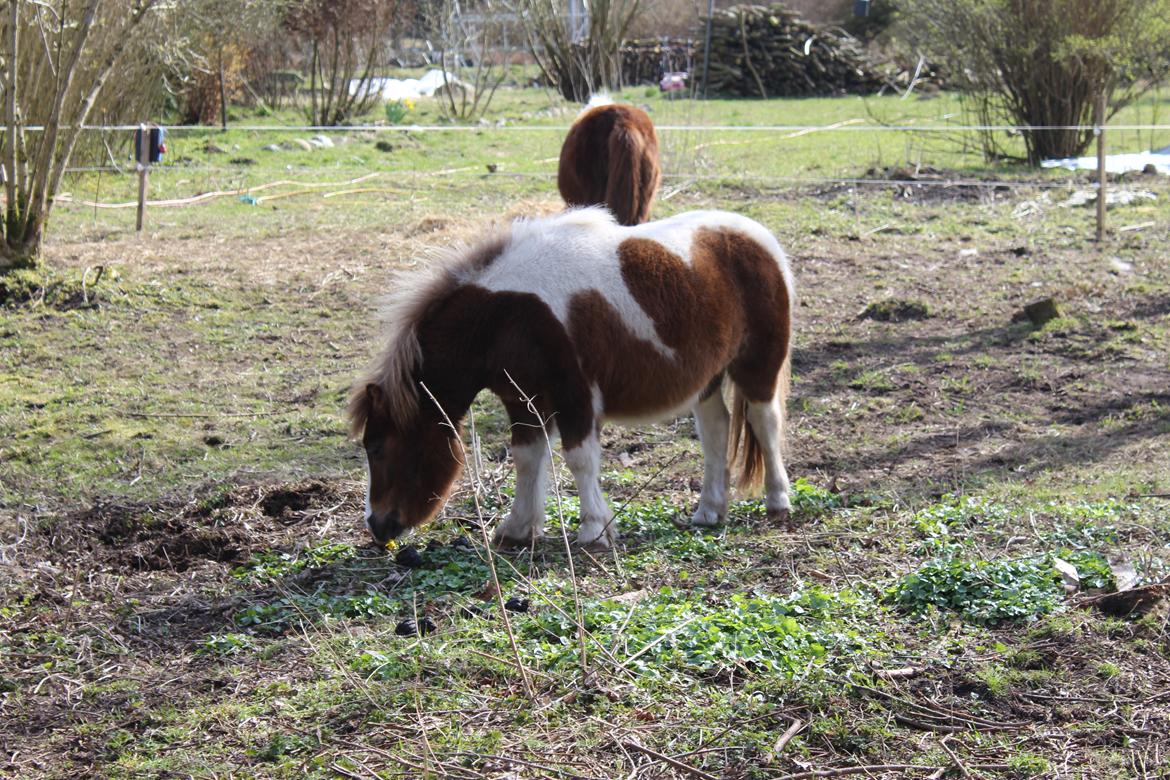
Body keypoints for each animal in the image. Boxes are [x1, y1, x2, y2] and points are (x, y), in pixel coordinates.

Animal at [346, 206, 795, 549]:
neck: (505, 316)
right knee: (716, 431)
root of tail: (758, 237)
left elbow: (579, 459)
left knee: (764, 422)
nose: (377, 526)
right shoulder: (522, 400)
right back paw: (709, 511)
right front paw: (518, 528)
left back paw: (778, 501)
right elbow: (527, 458)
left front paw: (594, 530)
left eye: (379, 448)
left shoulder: (575, 395)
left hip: (757, 367)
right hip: (707, 381)